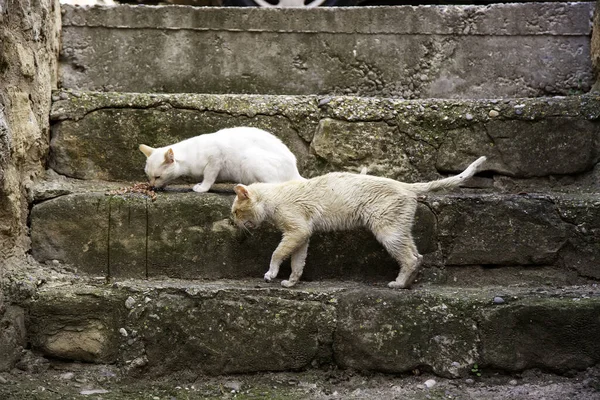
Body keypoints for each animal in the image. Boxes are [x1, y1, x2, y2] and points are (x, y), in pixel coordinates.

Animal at [140, 127, 304, 191]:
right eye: (148, 176)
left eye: (157, 176)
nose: (151, 186)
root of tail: (295, 170)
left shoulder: (216, 159)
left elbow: (208, 177)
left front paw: (202, 188)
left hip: (250, 159)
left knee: (275, 186)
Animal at [231, 155, 488, 290]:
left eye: (235, 212)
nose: (232, 222)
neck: (274, 198)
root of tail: (407, 186)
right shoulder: (302, 235)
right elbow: (297, 262)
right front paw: (291, 282)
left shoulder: (297, 230)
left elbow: (277, 254)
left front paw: (271, 274)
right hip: (399, 230)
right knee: (419, 255)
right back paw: (406, 284)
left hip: (388, 231)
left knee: (411, 258)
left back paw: (397, 285)